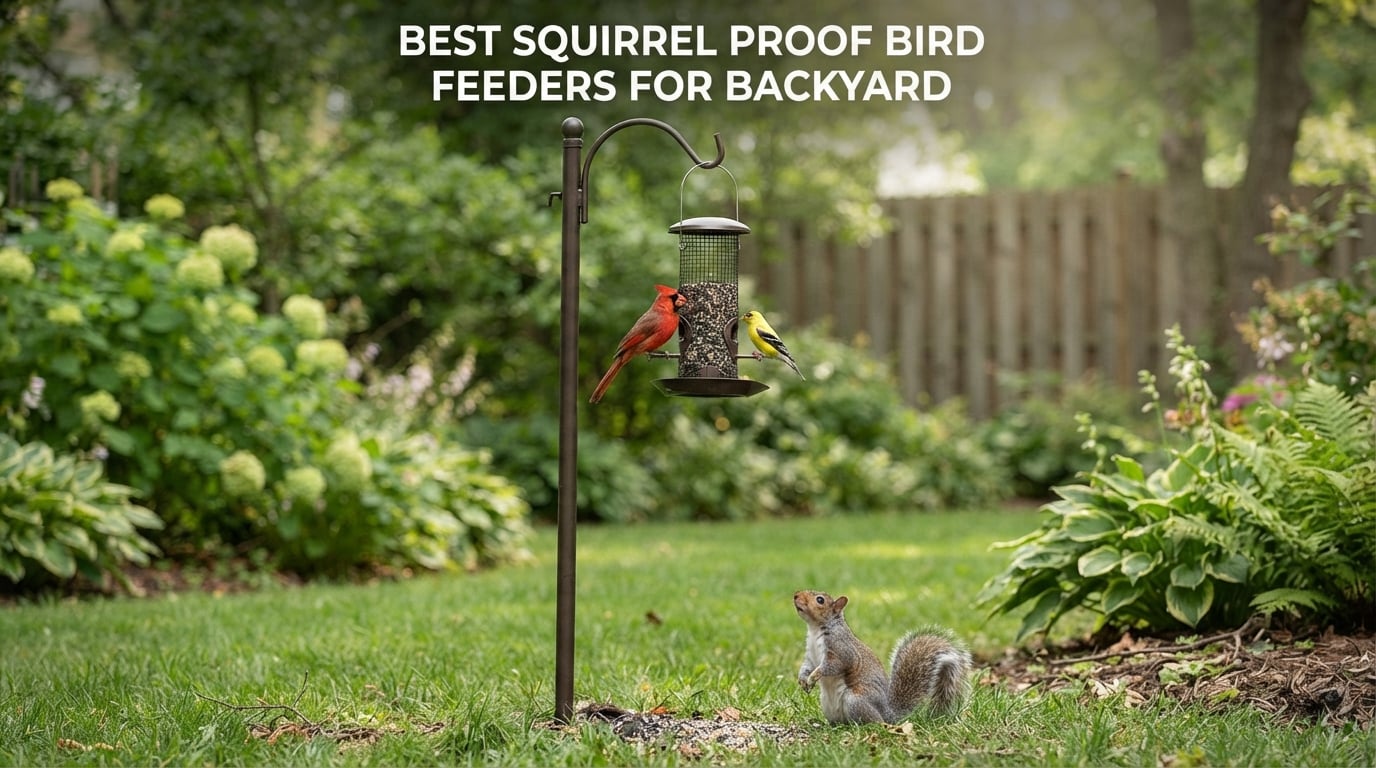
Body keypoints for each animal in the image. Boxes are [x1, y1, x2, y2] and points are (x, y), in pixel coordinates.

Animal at [793, 589, 973, 724]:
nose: (795, 595)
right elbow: (807, 666)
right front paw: (803, 680)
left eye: (820, 600)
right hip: (827, 705)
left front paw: (813, 677)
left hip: (856, 700)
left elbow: (831, 666)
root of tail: (888, 714)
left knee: (875, 722)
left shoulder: (841, 651)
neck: (815, 629)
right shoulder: (810, 655)